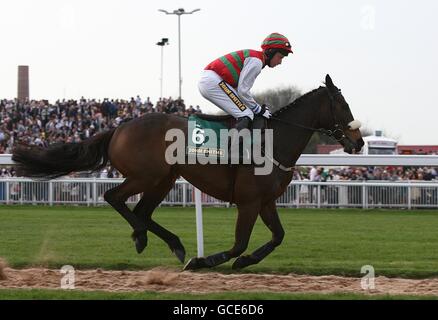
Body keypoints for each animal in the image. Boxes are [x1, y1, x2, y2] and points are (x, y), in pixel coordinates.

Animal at [12, 75, 364, 270]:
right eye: (343, 105)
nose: (359, 142)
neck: (274, 140)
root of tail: (119, 127)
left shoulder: (266, 201)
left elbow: (277, 236)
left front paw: (243, 261)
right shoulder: (249, 201)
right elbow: (239, 243)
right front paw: (205, 261)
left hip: (164, 179)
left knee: (142, 211)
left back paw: (170, 243)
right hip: (146, 176)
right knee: (114, 197)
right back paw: (143, 236)